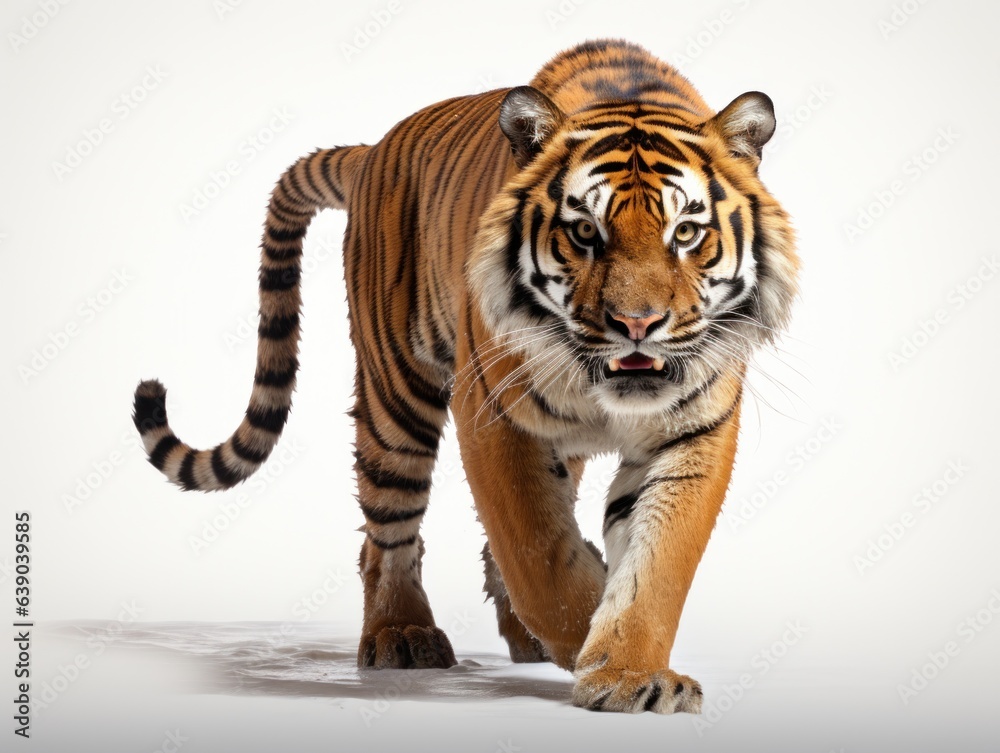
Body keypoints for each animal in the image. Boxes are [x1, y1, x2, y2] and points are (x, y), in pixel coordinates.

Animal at [131, 39, 798, 714]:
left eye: (685, 232)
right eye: (585, 231)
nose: (637, 323)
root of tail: (373, 150)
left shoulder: (696, 432)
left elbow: (658, 563)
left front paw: (630, 674)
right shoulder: (494, 417)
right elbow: (537, 553)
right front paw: (583, 636)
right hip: (396, 397)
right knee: (389, 531)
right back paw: (402, 634)